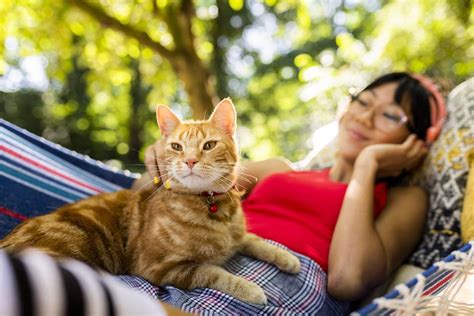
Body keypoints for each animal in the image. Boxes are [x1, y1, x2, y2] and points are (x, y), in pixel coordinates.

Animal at [0, 98, 300, 304]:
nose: (190, 161)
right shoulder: (162, 269)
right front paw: (251, 289)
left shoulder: (237, 237)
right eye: (176, 147)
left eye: (209, 145)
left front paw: (286, 258)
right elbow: (214, 272)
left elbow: (254, 240)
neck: (214, 210)